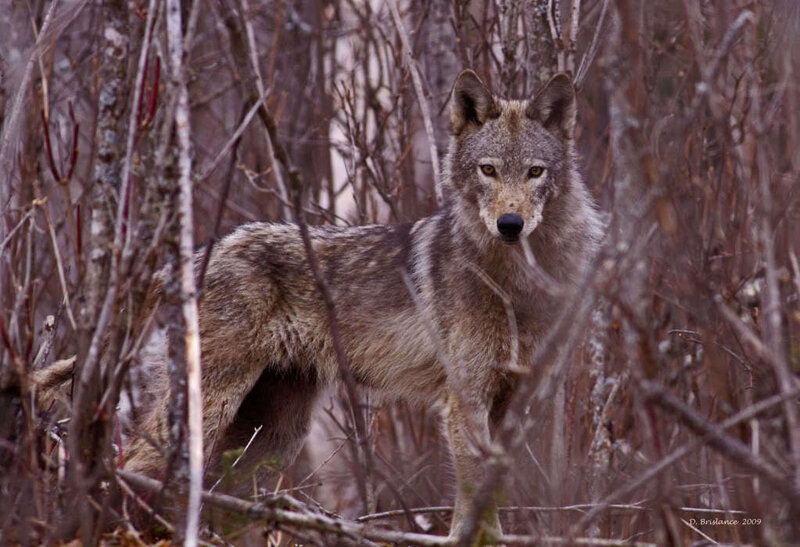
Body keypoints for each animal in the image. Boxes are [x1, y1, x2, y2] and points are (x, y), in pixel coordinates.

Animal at [103, 70, 602, 538]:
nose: (510, 224)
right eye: (488, 170)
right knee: (136, 465)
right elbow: (473, 509)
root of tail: (191, 258)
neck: (514, 284)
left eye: (535, 172)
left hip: (271, 438)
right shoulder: (465, 402)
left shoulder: (513, 406)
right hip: (211, 409)